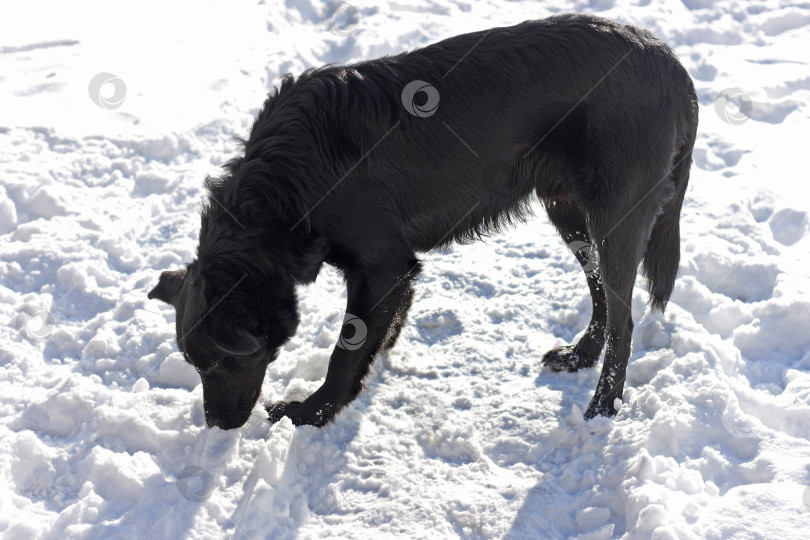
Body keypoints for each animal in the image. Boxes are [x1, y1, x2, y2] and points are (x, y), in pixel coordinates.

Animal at [148, 13, 696, 430]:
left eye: (223, 360)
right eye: (194, 364)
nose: (216, 425)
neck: (287, 182)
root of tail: (669, 61)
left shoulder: (382, 265)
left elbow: (346, 348)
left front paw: (313, 412)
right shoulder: (392, 270)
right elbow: (378, 327)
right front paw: (380, 352)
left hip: (616, 216)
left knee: (625, 318)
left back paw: (603, 407)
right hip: (569, 212)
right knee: (600, 292)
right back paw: (578, 355)